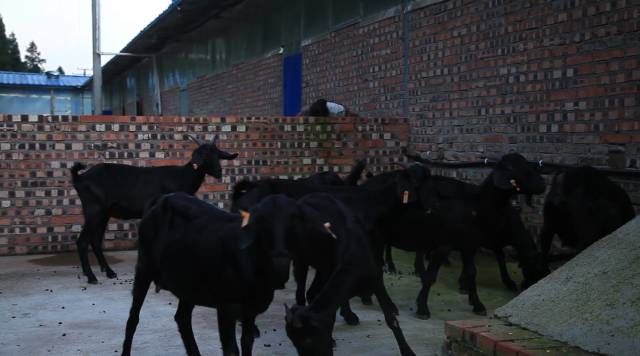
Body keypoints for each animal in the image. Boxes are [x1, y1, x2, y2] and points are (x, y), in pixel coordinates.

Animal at [70, 134, 239, 284]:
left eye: (218, 155)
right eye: (204, 155)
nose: (219, 172)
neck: (181, 177)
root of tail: (80, 178)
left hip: (104, 213)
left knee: (95, 240)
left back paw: (108, 272)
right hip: (94, 210)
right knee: (83, 241)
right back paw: (91, 276)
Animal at [120, 193, 332, 354]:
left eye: (294, 222)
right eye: (263, 223)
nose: (280, 258)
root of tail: (159, 201)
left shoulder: (250, 310)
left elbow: (247, 342)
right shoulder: (226, 307)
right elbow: (231, 349)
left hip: (189, 284)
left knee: (182, 318)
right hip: (144, 266)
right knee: (133, 318)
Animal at [284, 195, 416, 356]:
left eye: (308, 340)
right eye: (294, 343)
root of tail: (305, 198)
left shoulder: (376, 280)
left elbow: (391, 319)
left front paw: (408, 351)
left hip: (323, 267)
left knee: (311, 291)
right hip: (301, 258)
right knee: (302, 290)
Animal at [370, 153, 552, 318]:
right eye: (513, 168)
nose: (542, 184)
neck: (476, 205)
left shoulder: (469, 245)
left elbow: (472, 272)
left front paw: (478, 305)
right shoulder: (445, 245)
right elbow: (431, 276)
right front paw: (422, 308)